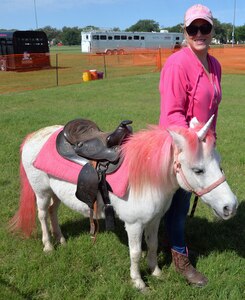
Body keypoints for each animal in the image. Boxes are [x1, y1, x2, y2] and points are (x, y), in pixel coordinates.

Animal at [9, 116, 237, 290]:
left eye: (219, 162)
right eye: (198, 170)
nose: (231, 207)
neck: (147, 177)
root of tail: (34, 135)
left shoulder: (154, 220)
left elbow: (152, 245)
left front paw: (156, 271)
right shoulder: (134, 225)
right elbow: (135, 253)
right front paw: (138, 282)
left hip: (55, 193)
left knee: (53, 212)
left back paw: (62, 240)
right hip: (41, 192)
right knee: (42, 215)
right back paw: (48, 245)